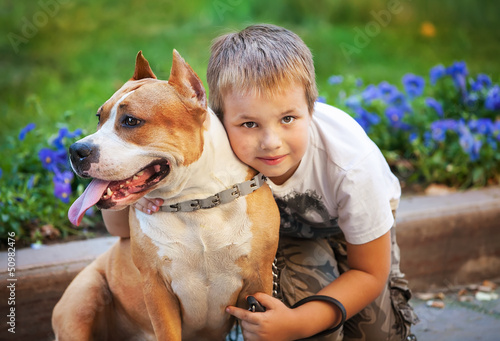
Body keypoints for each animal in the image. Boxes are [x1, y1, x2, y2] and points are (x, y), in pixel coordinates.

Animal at [53, 50, 282, 340]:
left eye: (131, 121)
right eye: (98, 117)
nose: (76, 150)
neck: (197, 203)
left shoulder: (259, 281)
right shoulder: (156, 287)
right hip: (84, 297)